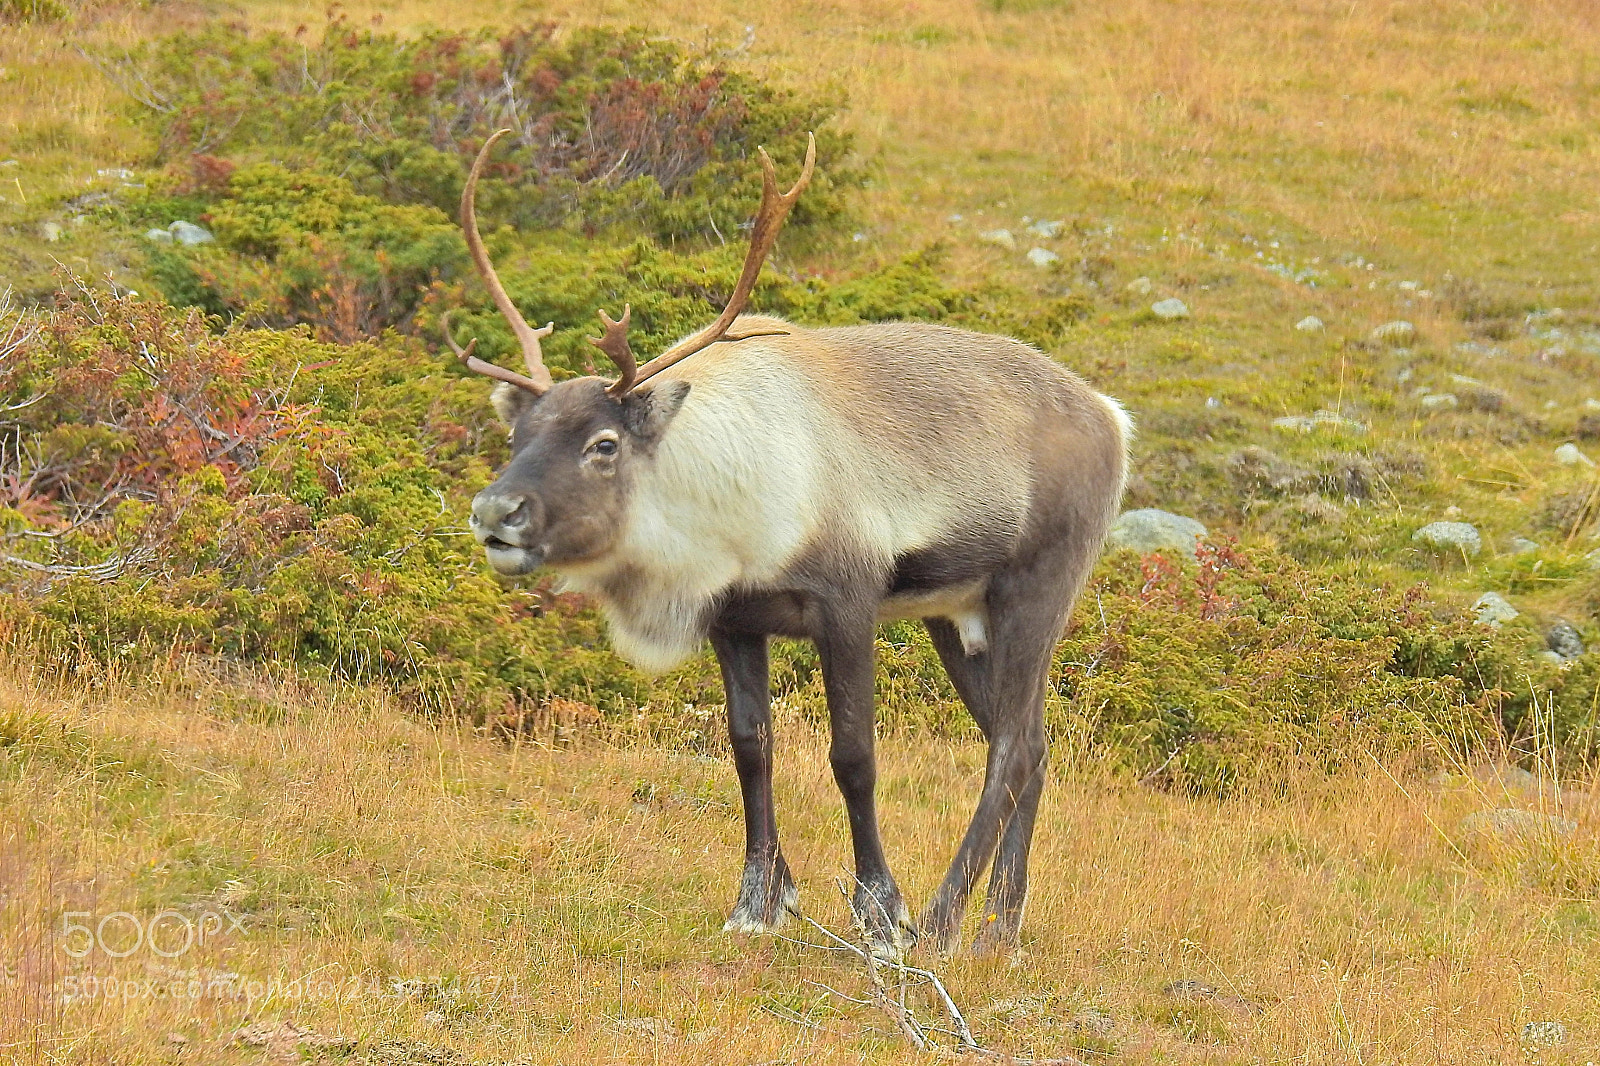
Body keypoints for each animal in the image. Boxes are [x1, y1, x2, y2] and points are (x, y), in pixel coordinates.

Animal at [451, 129, 1130, 956]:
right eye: (516, 435)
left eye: (603, 444)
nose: (496, 510)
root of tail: (1111, 416)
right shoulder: (735, 619)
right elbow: (751, 747)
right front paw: (757, 903)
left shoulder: (847, 604)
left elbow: (854, 756)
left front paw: (882, 912)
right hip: (957, 617)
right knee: (1032, 744)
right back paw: (999, 927)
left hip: (1037, 590)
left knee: (1009, 749)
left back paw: (943, 919)